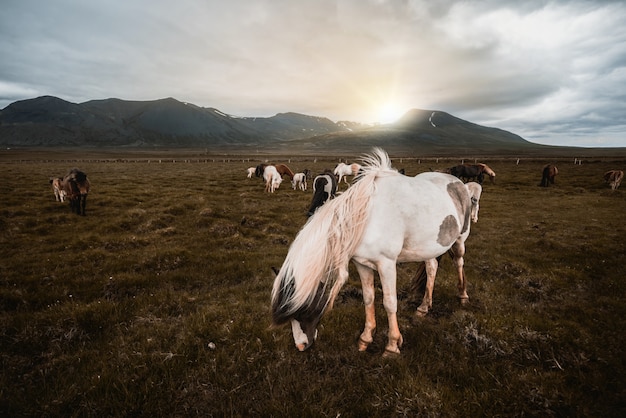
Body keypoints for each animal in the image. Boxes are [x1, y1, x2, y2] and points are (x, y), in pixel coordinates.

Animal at [270, 148, 472, 356]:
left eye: (302, 310)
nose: (301, 345)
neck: (364, 218)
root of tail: (456, 180)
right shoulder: (362, 264)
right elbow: (368, 299)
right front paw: (365, 339)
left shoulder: (387, 264)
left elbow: (390, 303)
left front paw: (392, 345)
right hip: (429, 247)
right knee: (432, 268)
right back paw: (423, 307)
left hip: (460, 240)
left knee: (459, 262)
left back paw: (463, 296)